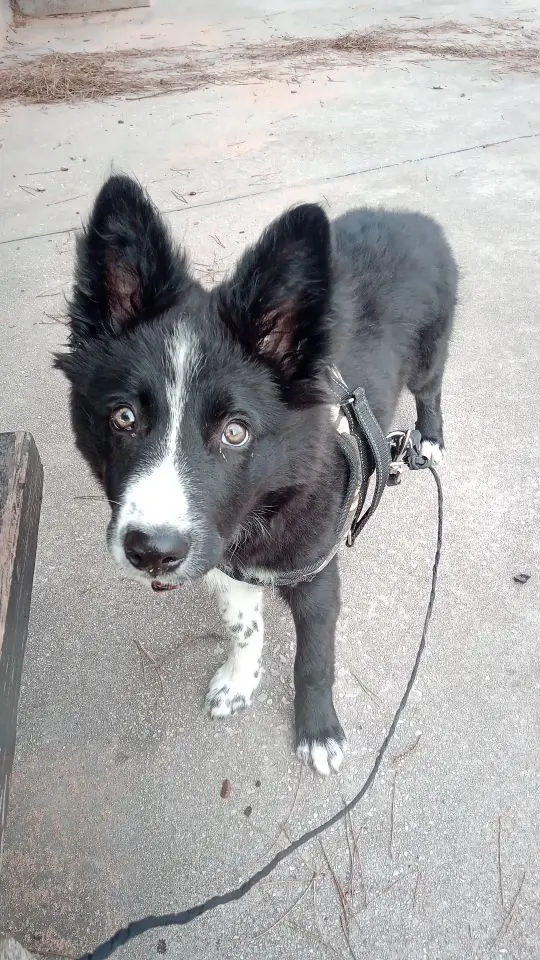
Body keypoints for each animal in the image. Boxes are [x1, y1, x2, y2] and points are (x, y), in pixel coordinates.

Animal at [54, 174, 457, 776]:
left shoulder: (314, 572)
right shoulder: (225, 559)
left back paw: (428, 437)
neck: (265, 499)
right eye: (123, 417)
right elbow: (243, 626)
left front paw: (319, 732)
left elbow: (314, 658)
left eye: (235, 432)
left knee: (430, 390)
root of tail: (411, 217)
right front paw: (240, 681)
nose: (152, 552)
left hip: (432, 352)